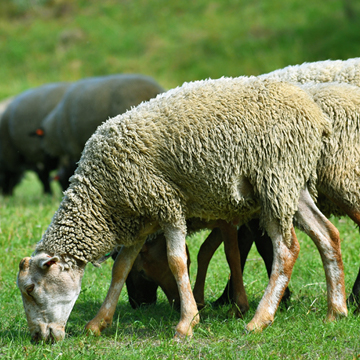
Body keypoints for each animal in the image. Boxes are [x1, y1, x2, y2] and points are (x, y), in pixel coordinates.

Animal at [16, 76, 346, 344]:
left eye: (31, 289)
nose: (38, 338)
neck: (102, 198)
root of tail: (317, 116)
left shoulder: (167, 204)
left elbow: (176, 262)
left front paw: (187, 322)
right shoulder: (140, 219)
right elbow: (121, 268)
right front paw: (98, 323)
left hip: (275, 178)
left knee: (287, 249)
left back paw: (259, 320)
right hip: (293, 184)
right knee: (327, 235)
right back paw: (337, 310)